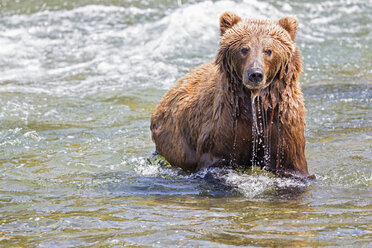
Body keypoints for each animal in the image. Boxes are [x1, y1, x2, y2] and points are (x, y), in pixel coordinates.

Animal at [150, 12, 310, 178]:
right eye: (244, 49)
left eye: (268, 50)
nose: (255, 74)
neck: (255, 104)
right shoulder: (226, 124)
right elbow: (216, 160)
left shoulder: (282, 123)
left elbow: (292, 166)